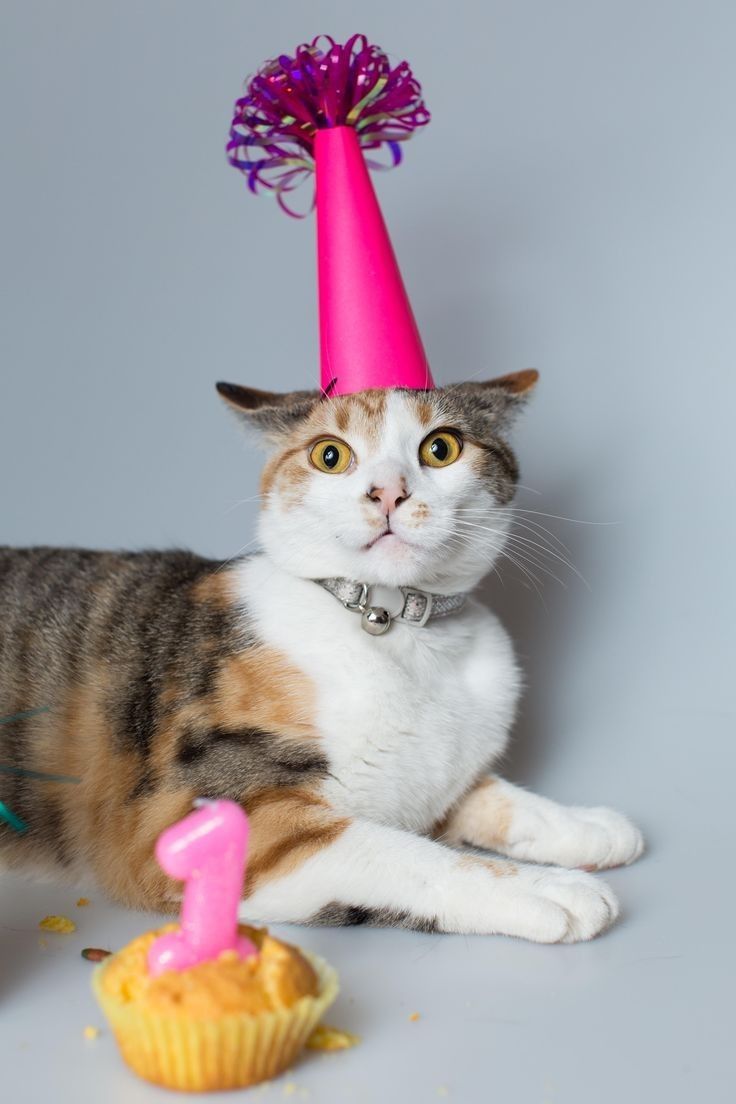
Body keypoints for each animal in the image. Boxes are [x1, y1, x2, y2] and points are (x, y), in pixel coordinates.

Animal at [0, 370, 644, 940]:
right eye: (330, 456)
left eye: (441, 448)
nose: (388, 492)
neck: (398, 633)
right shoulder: (205, 822)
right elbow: (405, 851)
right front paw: (547, 889)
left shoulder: (434, 776)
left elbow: (487, 796)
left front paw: (585, 824)